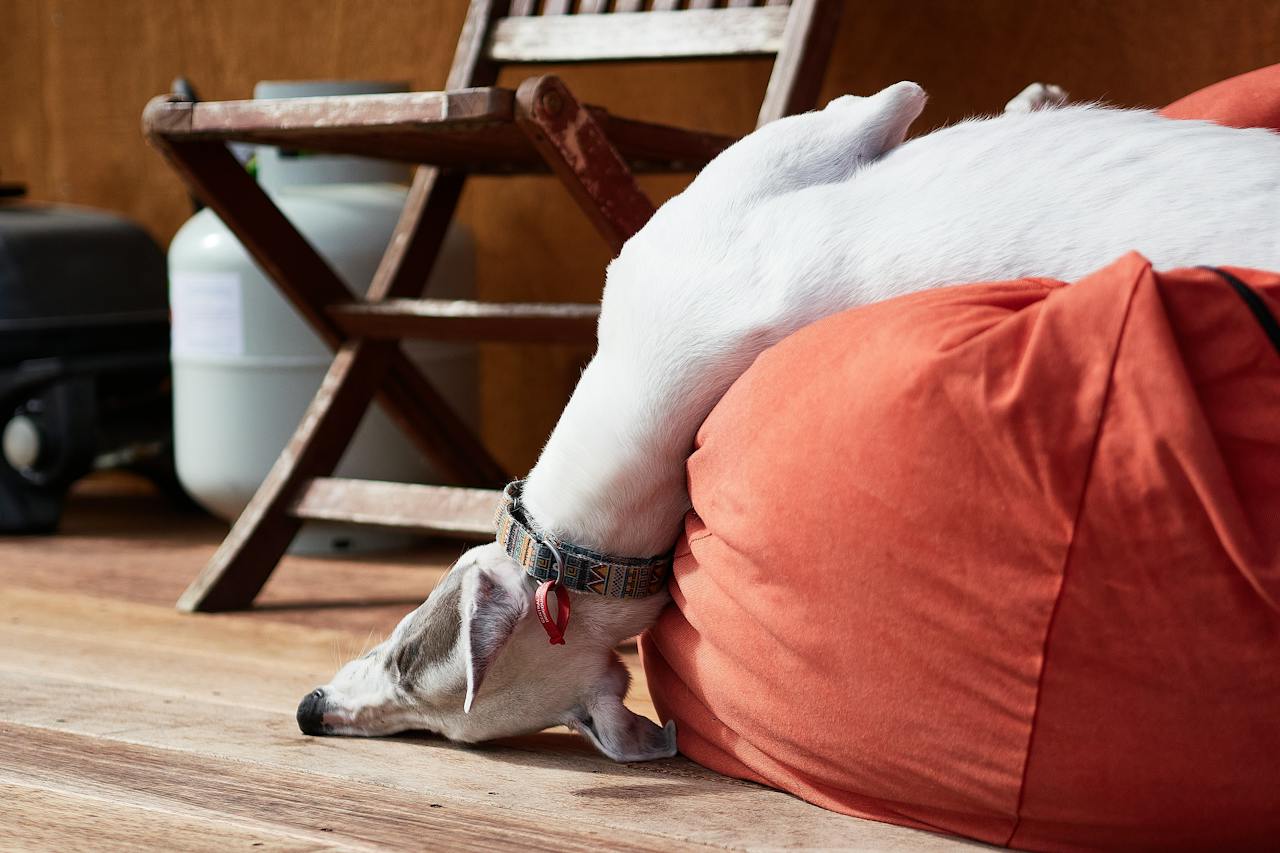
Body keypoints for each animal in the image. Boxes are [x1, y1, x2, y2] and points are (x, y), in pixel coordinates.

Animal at [296, 79, 1280, 758]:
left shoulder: (780, 160)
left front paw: (1029, 99)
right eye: (429, 728)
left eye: (403, 655)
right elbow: (894, 104)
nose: (309, 713)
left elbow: (894, 101)